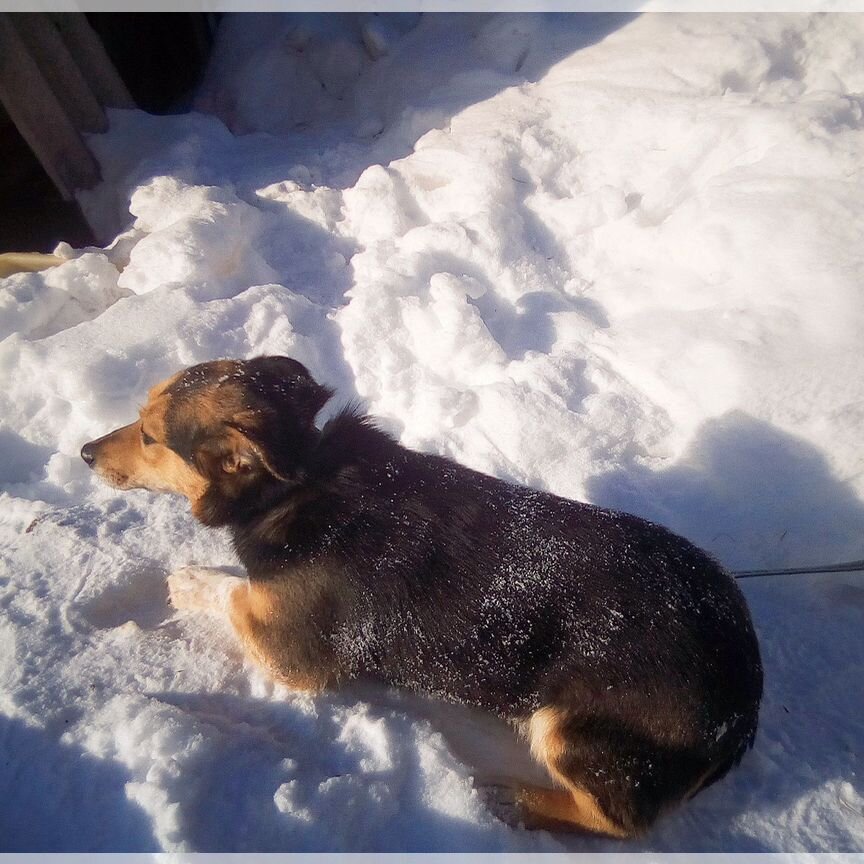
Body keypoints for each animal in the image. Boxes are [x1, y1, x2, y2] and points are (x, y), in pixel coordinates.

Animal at [77, 352, 760, 836]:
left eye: (149, 436)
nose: (83, 452)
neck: (296, 481)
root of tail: (744, 697)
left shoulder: (290, 653)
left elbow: (232, 593)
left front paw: (189, 577)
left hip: (567, 726)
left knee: (620, 820)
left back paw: (516, 800)